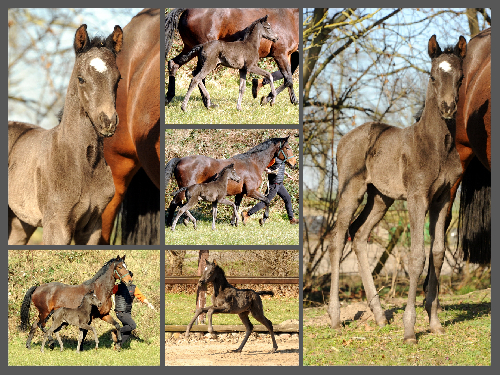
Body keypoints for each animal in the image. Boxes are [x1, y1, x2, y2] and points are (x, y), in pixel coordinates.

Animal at [330, 33, 466, 346]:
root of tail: (343, 141)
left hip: (381, 198)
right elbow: (417, 257)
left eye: (461, 78)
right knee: (338, 236)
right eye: (432, 76)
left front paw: (435, 323)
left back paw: (380, 316)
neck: (438, 146)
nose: (447, 107)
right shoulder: (417, 197)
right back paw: (335, 317)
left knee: (359, 234)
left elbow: (438, 253)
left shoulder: (443, 198)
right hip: (351, 190)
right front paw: (410, 330)